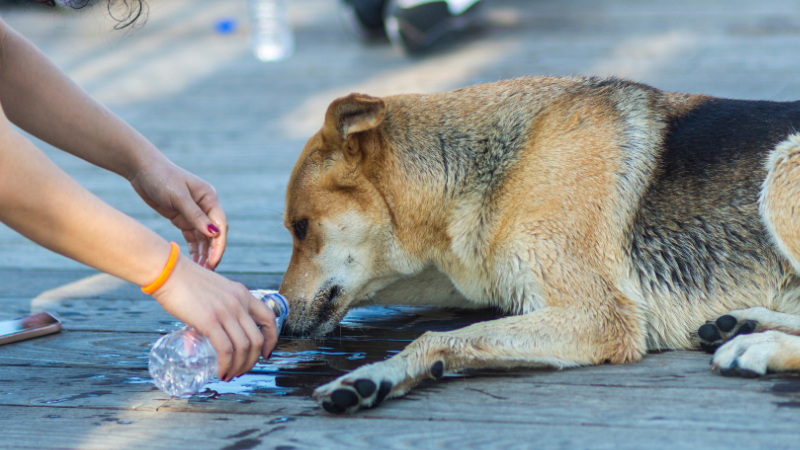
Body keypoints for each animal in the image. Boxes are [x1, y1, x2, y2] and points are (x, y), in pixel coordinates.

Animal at [278, 75, 800, 414]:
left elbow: (440, 336)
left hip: (782, 164)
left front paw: (374, 374)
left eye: (301, 227)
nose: (279, 326)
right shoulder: (465, 275)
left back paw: (757, 345)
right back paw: (745, 325)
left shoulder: (597, 316)